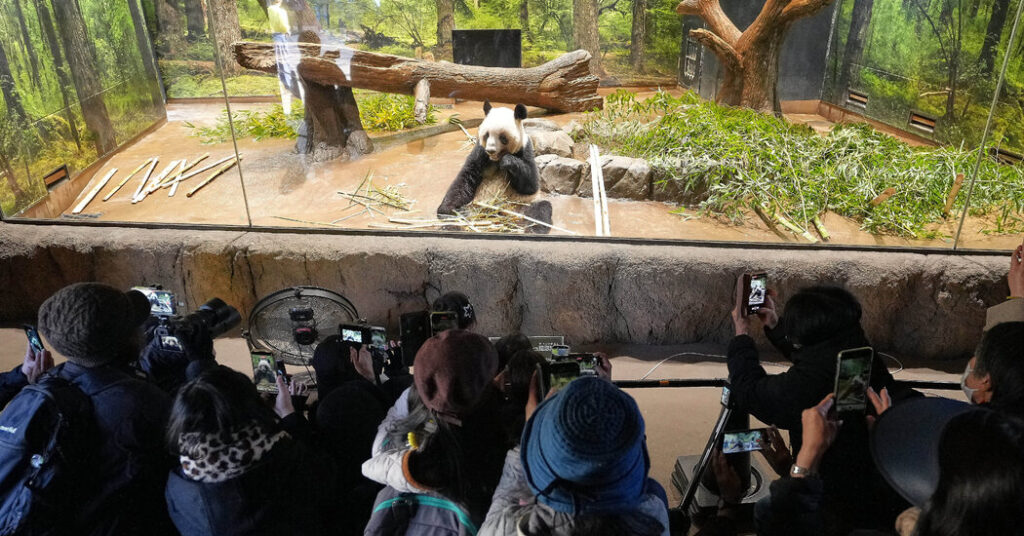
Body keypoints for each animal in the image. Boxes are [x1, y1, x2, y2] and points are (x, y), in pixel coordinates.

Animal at [437, 101, 553, 233]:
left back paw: (534, 230)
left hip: (521, 204)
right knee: (456, 221)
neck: (496, 158)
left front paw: (508, 161)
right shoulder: (480, 151)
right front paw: (447, 209)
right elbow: (466, 176)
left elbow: (531, 185)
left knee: (540, 210)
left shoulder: (525, 148)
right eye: (486, 135)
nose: (490, 150)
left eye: (503, 137)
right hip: (476, 205)